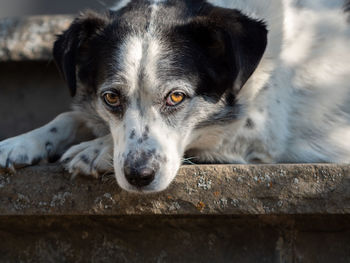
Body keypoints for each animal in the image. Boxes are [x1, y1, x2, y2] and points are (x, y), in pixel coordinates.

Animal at [0, 0, 350, 194]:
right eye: (111, 97)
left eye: (177, 97)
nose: (139, 178)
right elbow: (69, 115)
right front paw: (22, 142)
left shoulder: (261, 133)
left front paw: (94, 149)